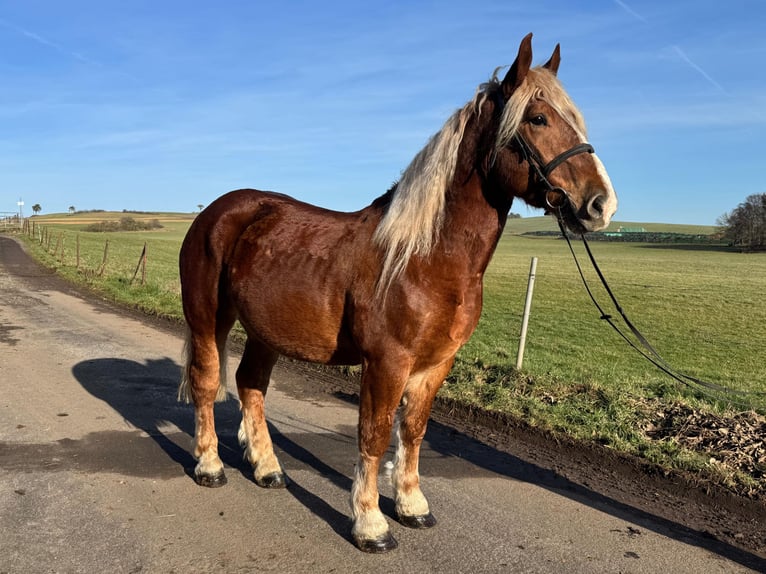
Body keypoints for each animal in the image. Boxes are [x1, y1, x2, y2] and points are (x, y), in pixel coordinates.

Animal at [178, 33, 617, 553]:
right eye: (538, 119)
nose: (601, 204)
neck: (425, 258)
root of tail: (218, 211)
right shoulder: (387, 361)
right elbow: (374, 433)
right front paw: (370, 524)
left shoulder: (436, 364)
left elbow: (413, 430)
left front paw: (411, 506)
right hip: (208, 318)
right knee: (207, 382)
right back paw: (210, 465)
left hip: (268, 331)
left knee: (250, 384)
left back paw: (267, 469)